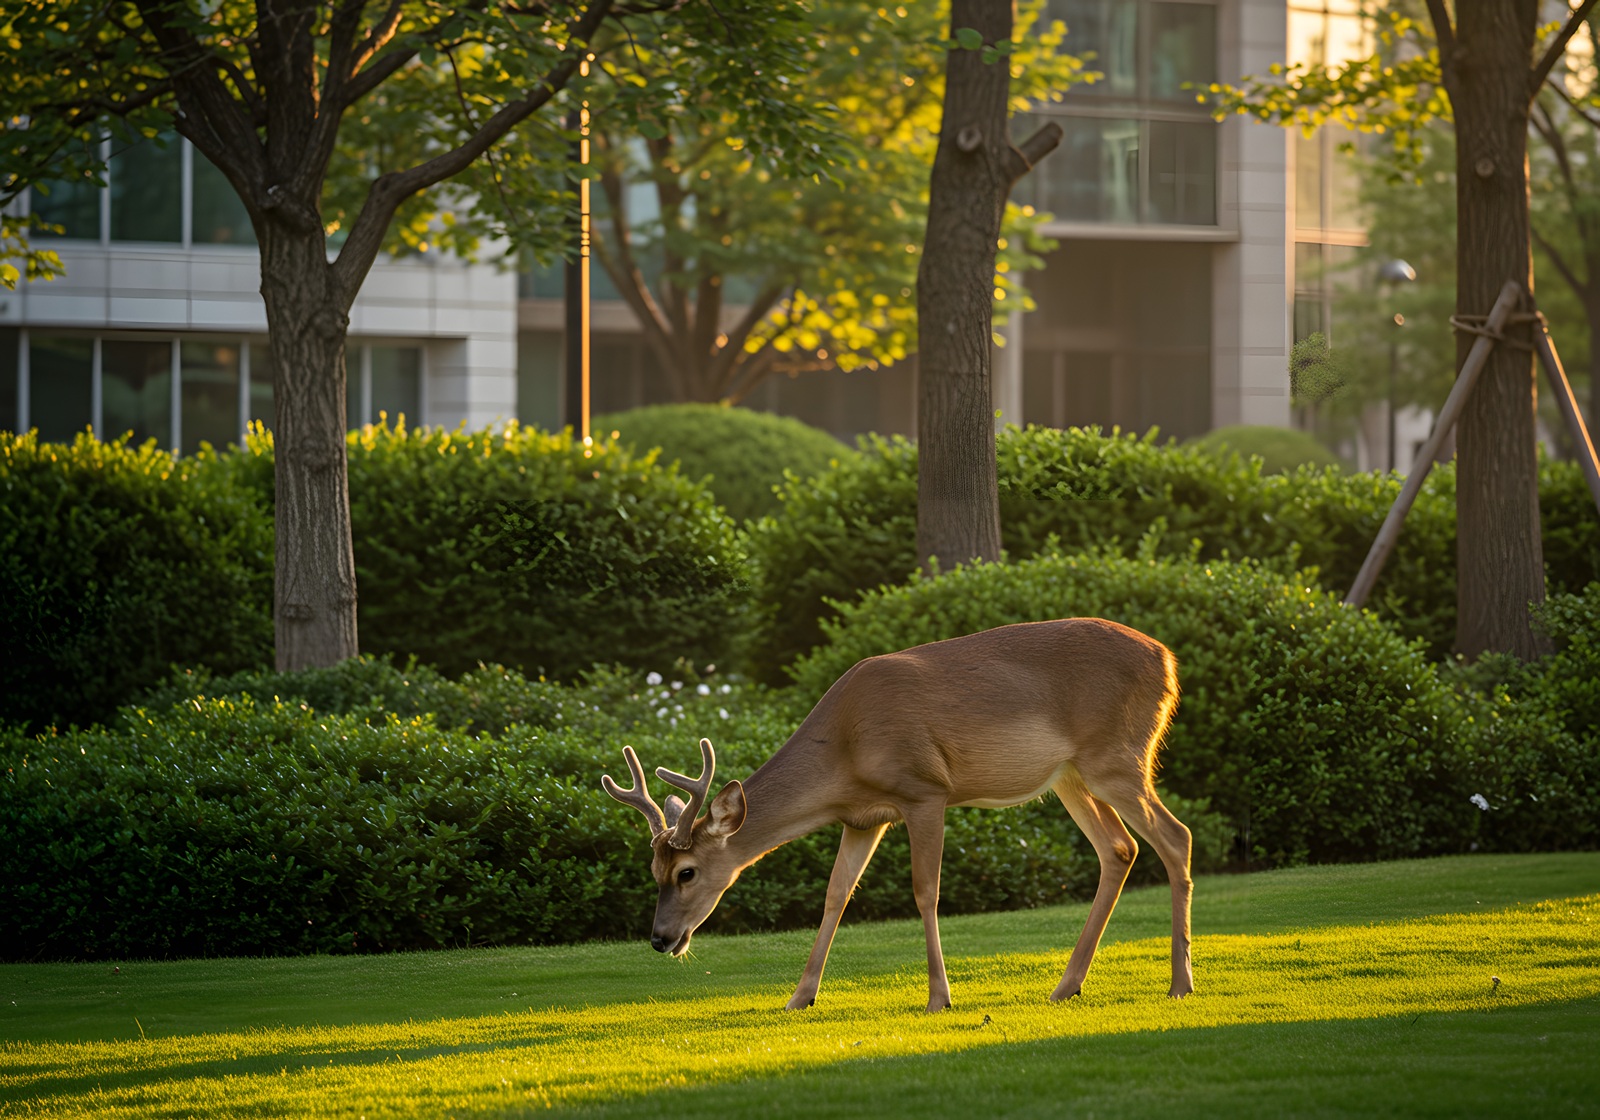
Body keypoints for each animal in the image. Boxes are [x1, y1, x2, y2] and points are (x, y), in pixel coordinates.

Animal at [601, 618, 1193, 1013]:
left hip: (1116, 756)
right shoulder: (863, 818)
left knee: (1175, 836)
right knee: (1120, 848)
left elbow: (924, 891)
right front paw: (800, 996)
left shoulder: (924, 792)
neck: (846, 749)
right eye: (652, 872)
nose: (659, 938)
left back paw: (1180, 982)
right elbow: (836, 894)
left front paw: (939, 996)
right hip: (1071, 775)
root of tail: (1168, 659)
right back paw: (1068, 985)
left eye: (687, 872)